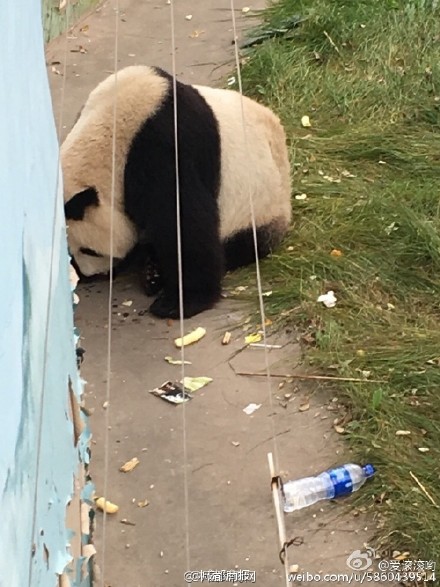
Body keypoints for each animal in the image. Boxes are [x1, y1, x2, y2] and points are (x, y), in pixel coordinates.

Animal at [60, 65, 290, 320]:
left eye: (88, 250)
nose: (92, 274)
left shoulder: (163, 151)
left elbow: (183, 223)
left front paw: (179, 302)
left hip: (259, 205)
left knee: (242, 243)